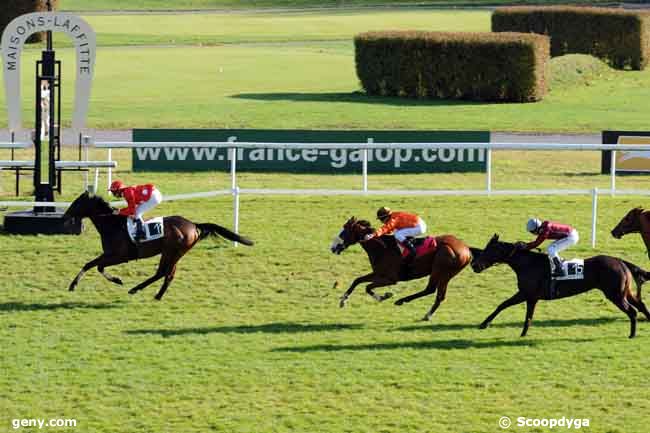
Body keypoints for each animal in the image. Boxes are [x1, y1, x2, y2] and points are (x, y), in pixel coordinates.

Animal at [62, 191, 252, 298]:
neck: (113, 225)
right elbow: (90, 264)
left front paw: (117, 280)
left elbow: (98, 266)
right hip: (173, 253)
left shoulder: (120, 256)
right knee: (165, 273)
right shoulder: (109, 254)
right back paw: (147, 292)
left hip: (172, 252)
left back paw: (146, 292)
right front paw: (73, 285)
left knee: (165, 273)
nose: (64, 216)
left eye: (77, 203)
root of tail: (193, 225)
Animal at [330, 216, 470, 320]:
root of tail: (466, 249)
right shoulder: (378, 273)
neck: (382, 248)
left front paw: (384, 296)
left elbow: (368, 287)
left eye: (344, 232)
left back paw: (402, 301)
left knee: (431, 290)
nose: (333, 248)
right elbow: (357, 280)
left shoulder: (391, 279)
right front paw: (343, 300)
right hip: (446, 274)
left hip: (440, 271)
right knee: (438, 294)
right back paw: (426, 314)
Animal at [470, 233, 648, 338]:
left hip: (615, 294)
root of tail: (619, 261)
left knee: (632, 311)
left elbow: (514, 310)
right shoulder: (528, 295)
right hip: (625, 292)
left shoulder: (528, 294)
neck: (527, 264)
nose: (474, 265)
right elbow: (508, 307)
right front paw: (485, 324)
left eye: (488, 250)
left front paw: (487, 324)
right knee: (641, 305)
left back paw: (632, 334)